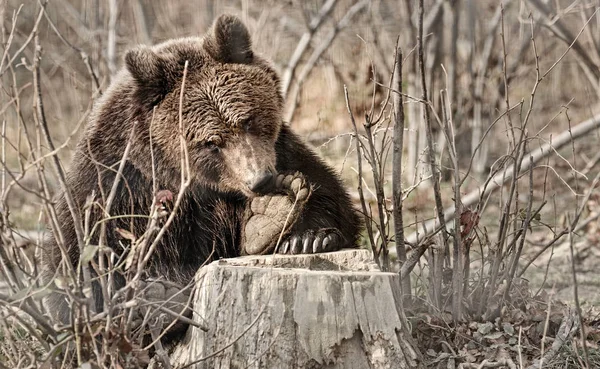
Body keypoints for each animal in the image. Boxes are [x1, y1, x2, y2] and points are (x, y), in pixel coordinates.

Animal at [43, 15, 360, 328]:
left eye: (247, 120)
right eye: (211, 142)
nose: (260, 180)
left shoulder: (282, 152)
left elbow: (328, 193)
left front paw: (298, 230)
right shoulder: (115, 182)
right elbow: (85, 258)